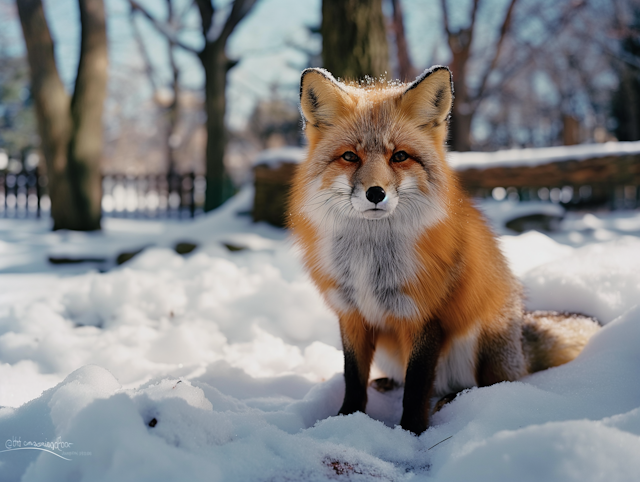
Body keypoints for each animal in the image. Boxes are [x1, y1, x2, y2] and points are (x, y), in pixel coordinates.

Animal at [290, 66, 600, 434]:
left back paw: (454, 399)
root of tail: (520, 338)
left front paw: (410, 433)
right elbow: (353, 378)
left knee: (487, 385)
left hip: (482, 337)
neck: (370, 261)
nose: (376, 193)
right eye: (350, 156)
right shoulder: (351, 313)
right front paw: (345, 422)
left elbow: (416, 386)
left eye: (400, 156)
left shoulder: (426, 315)